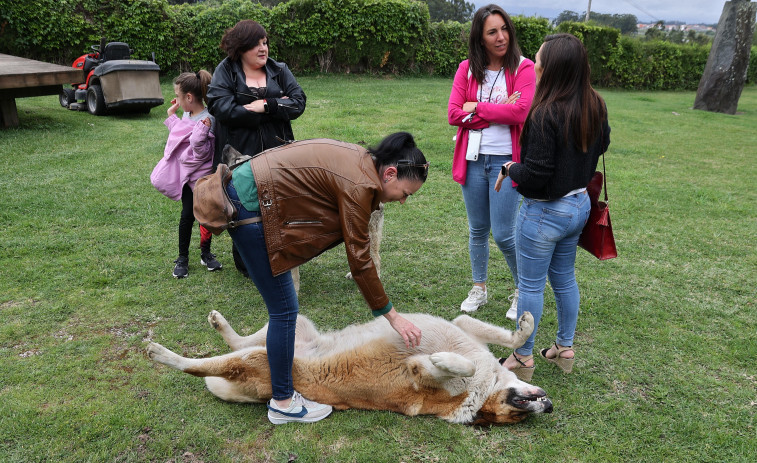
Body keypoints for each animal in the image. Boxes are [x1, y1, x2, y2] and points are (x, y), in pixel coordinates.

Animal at [146, 310, 548, 426]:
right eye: (518, 413)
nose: (550, 405)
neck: (488, 389)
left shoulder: (420, 376)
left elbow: (450, 366)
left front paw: (442, 360)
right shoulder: (463, 328)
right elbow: (505, 337)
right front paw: (525, 324)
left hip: (262, 356)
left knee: (203, 365)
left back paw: (162, 353)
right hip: (292, 329)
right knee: (235, 345)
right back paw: (213, 327)